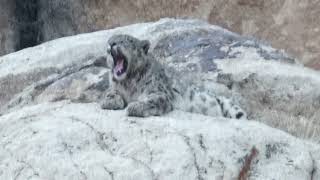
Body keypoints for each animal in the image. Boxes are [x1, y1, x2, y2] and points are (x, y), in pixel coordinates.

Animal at [101, 34, 246, 119]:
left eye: (128, 40)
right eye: (110, 39)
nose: (111, 44)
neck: (128, 83)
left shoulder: (159, 92)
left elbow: (152, 99)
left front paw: (135, 106)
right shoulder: (114, 87)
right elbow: (110, 92)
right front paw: (111, 101)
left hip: (231, 106)